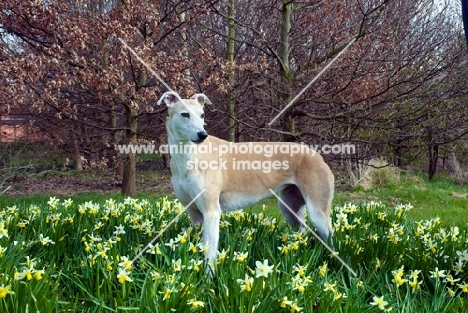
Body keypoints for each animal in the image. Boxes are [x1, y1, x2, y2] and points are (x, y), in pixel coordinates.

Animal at [157, 91, 332, 264]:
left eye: (202, 115)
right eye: (185, 114)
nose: (202, 135)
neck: (190, 154)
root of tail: (317, 155)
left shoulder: (211, 212)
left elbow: (210, 254)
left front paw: (209, 272)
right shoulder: (195, 214)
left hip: (317, 213)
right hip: (290, 208)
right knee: (303, 231)